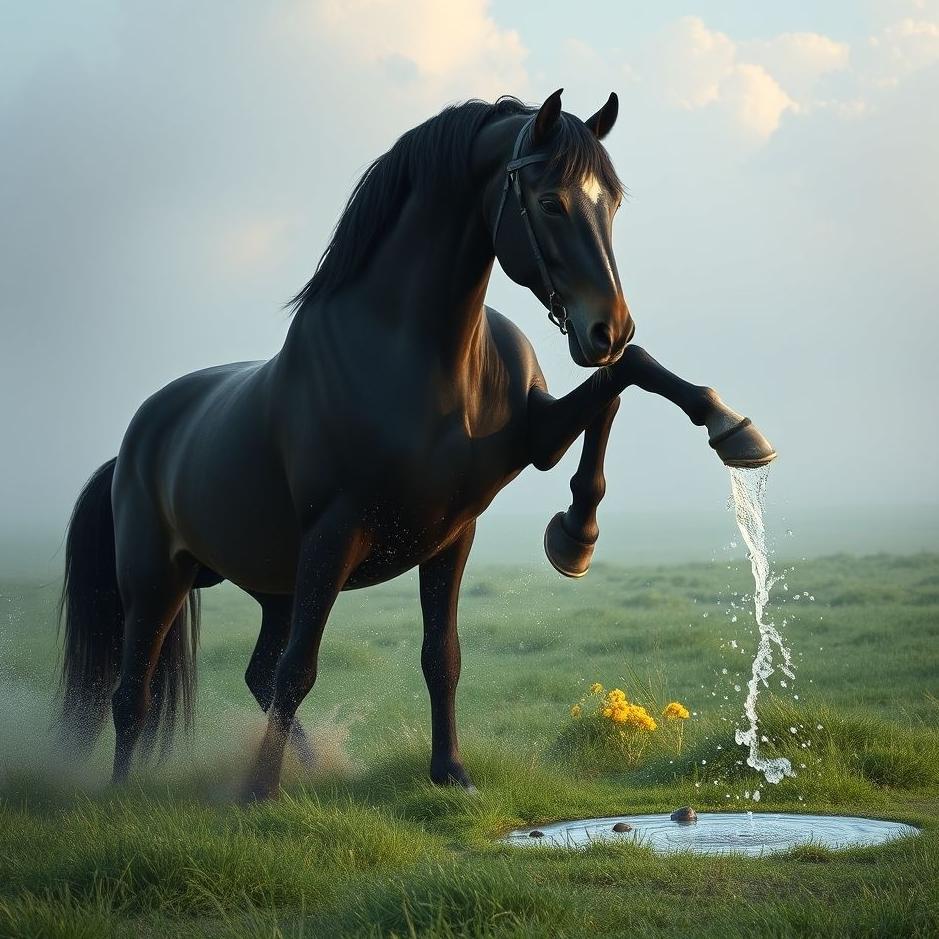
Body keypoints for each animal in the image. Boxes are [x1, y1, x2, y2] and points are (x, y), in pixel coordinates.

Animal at [58, 89, 775, 799]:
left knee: (257, 672)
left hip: (275, 585)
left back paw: (315, 768)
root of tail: (132, 446)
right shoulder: (334, 532)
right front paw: (258, 792)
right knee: (135, 693)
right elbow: (301, 669)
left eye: (612, 203)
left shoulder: (471, 512)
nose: (608, 326)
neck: (421, 359)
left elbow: (442, 654)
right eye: (549, 201)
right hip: (159, 580)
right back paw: (122, 794)